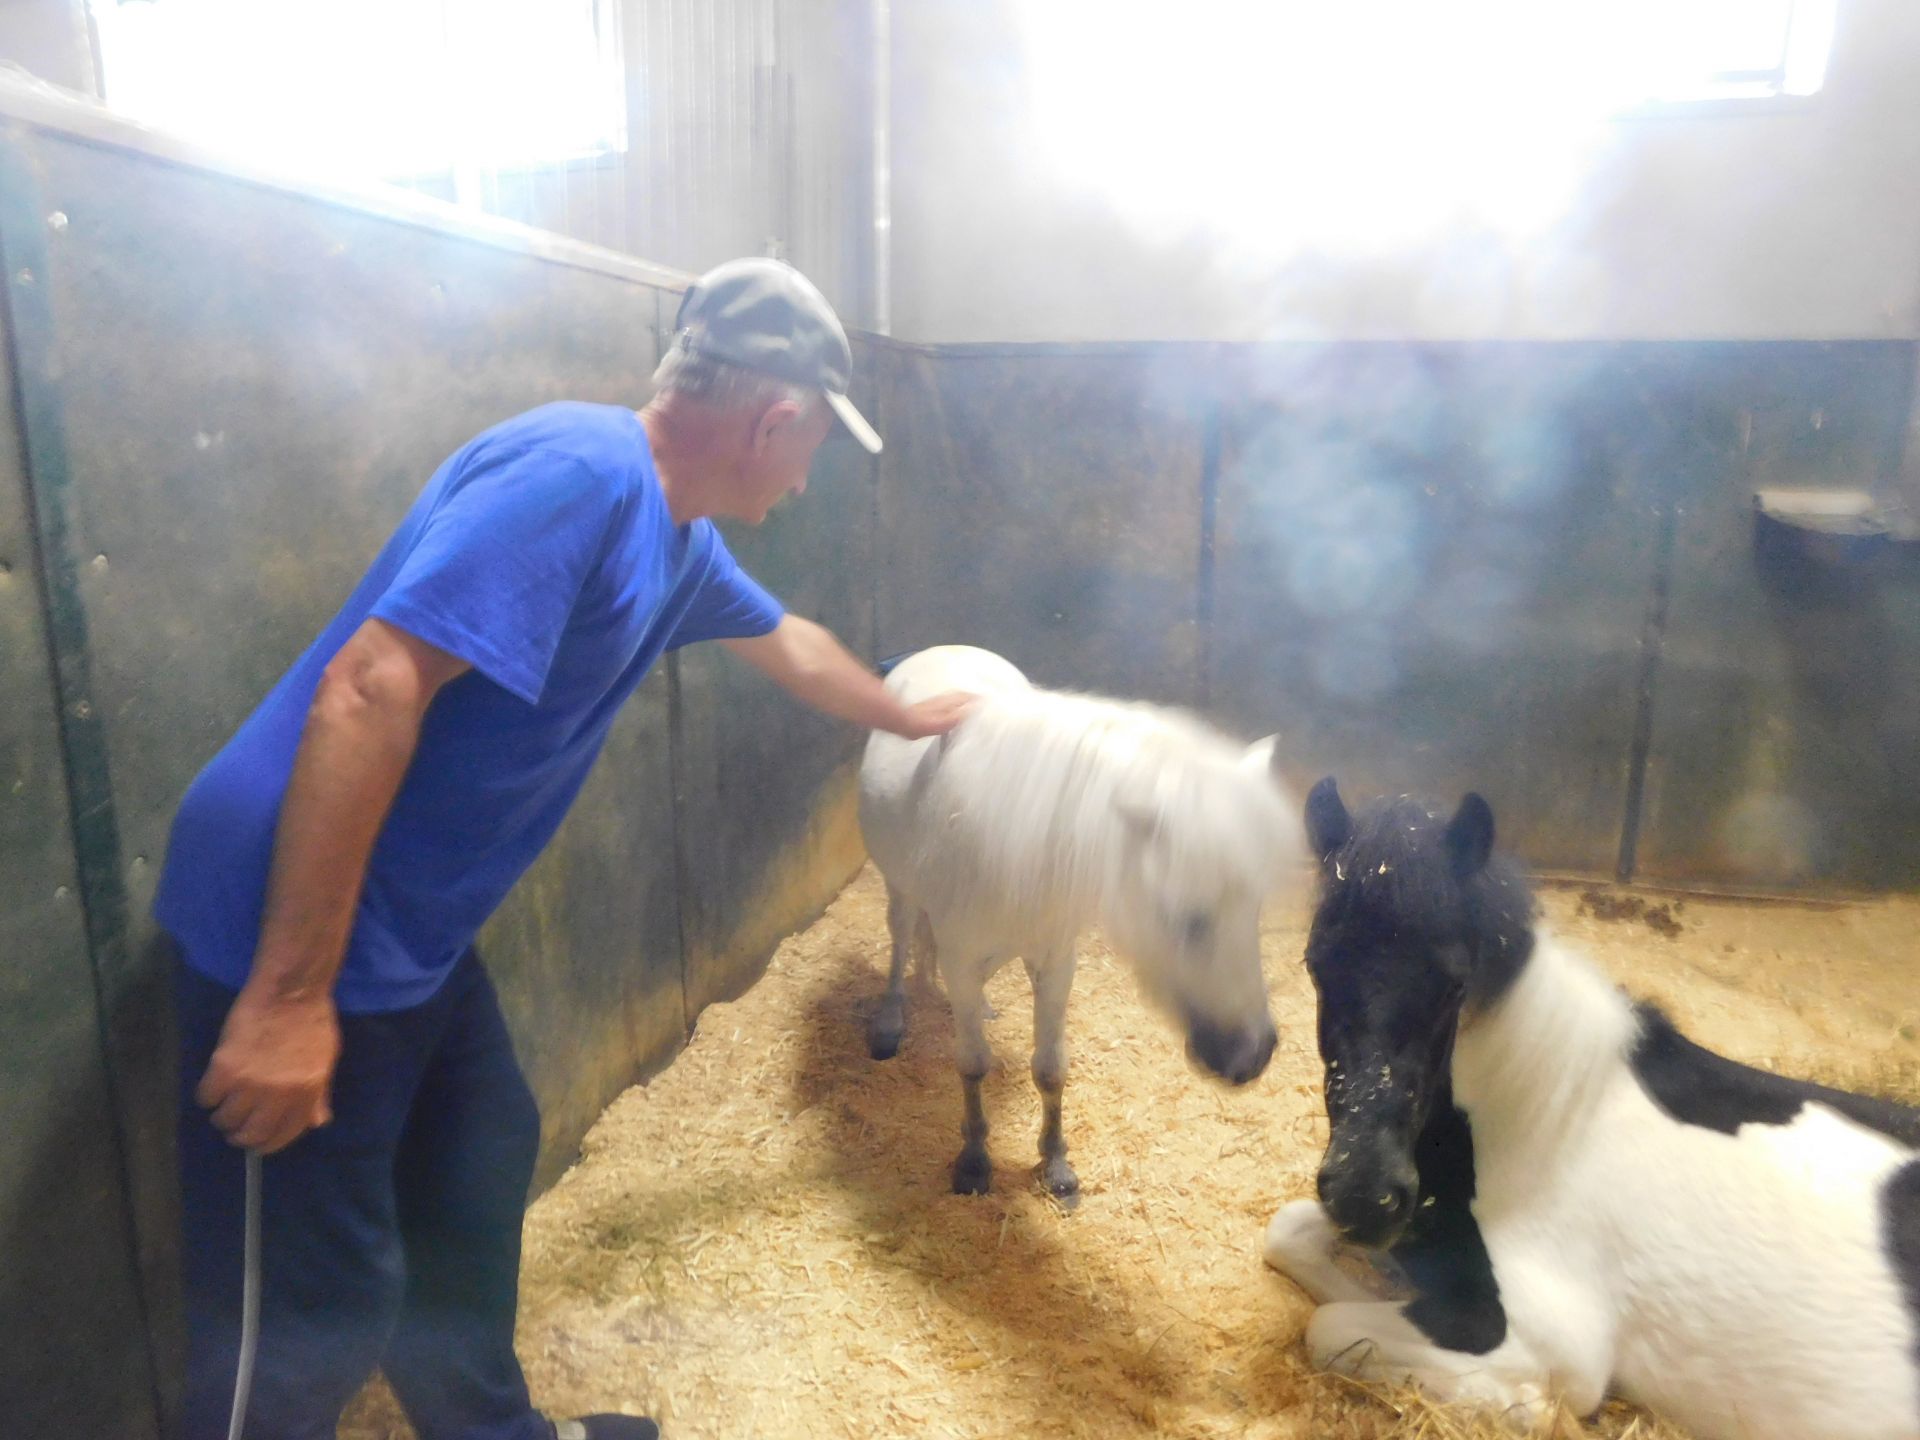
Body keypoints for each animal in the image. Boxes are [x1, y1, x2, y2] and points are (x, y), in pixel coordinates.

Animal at [860, 645, 1297, 1205]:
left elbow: (1051, 1068)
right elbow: (973, 1062)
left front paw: (1055, 1165)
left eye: (1255, 907)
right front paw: (975, 1161)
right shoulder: (961, 960)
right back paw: (890, 1020)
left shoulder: (1054, 962)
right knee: (900, 939)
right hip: (899, 886)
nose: (1254, 1054)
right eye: (1188, 918)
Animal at [1259, 783, 1920, 1436]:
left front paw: (1522, 1404)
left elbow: (1332, 1327)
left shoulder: (1551, 1340)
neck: (1551, 1129)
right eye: (1315, 964)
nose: (1363, 1197)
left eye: (1454, 982)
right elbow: (1292, 1238)